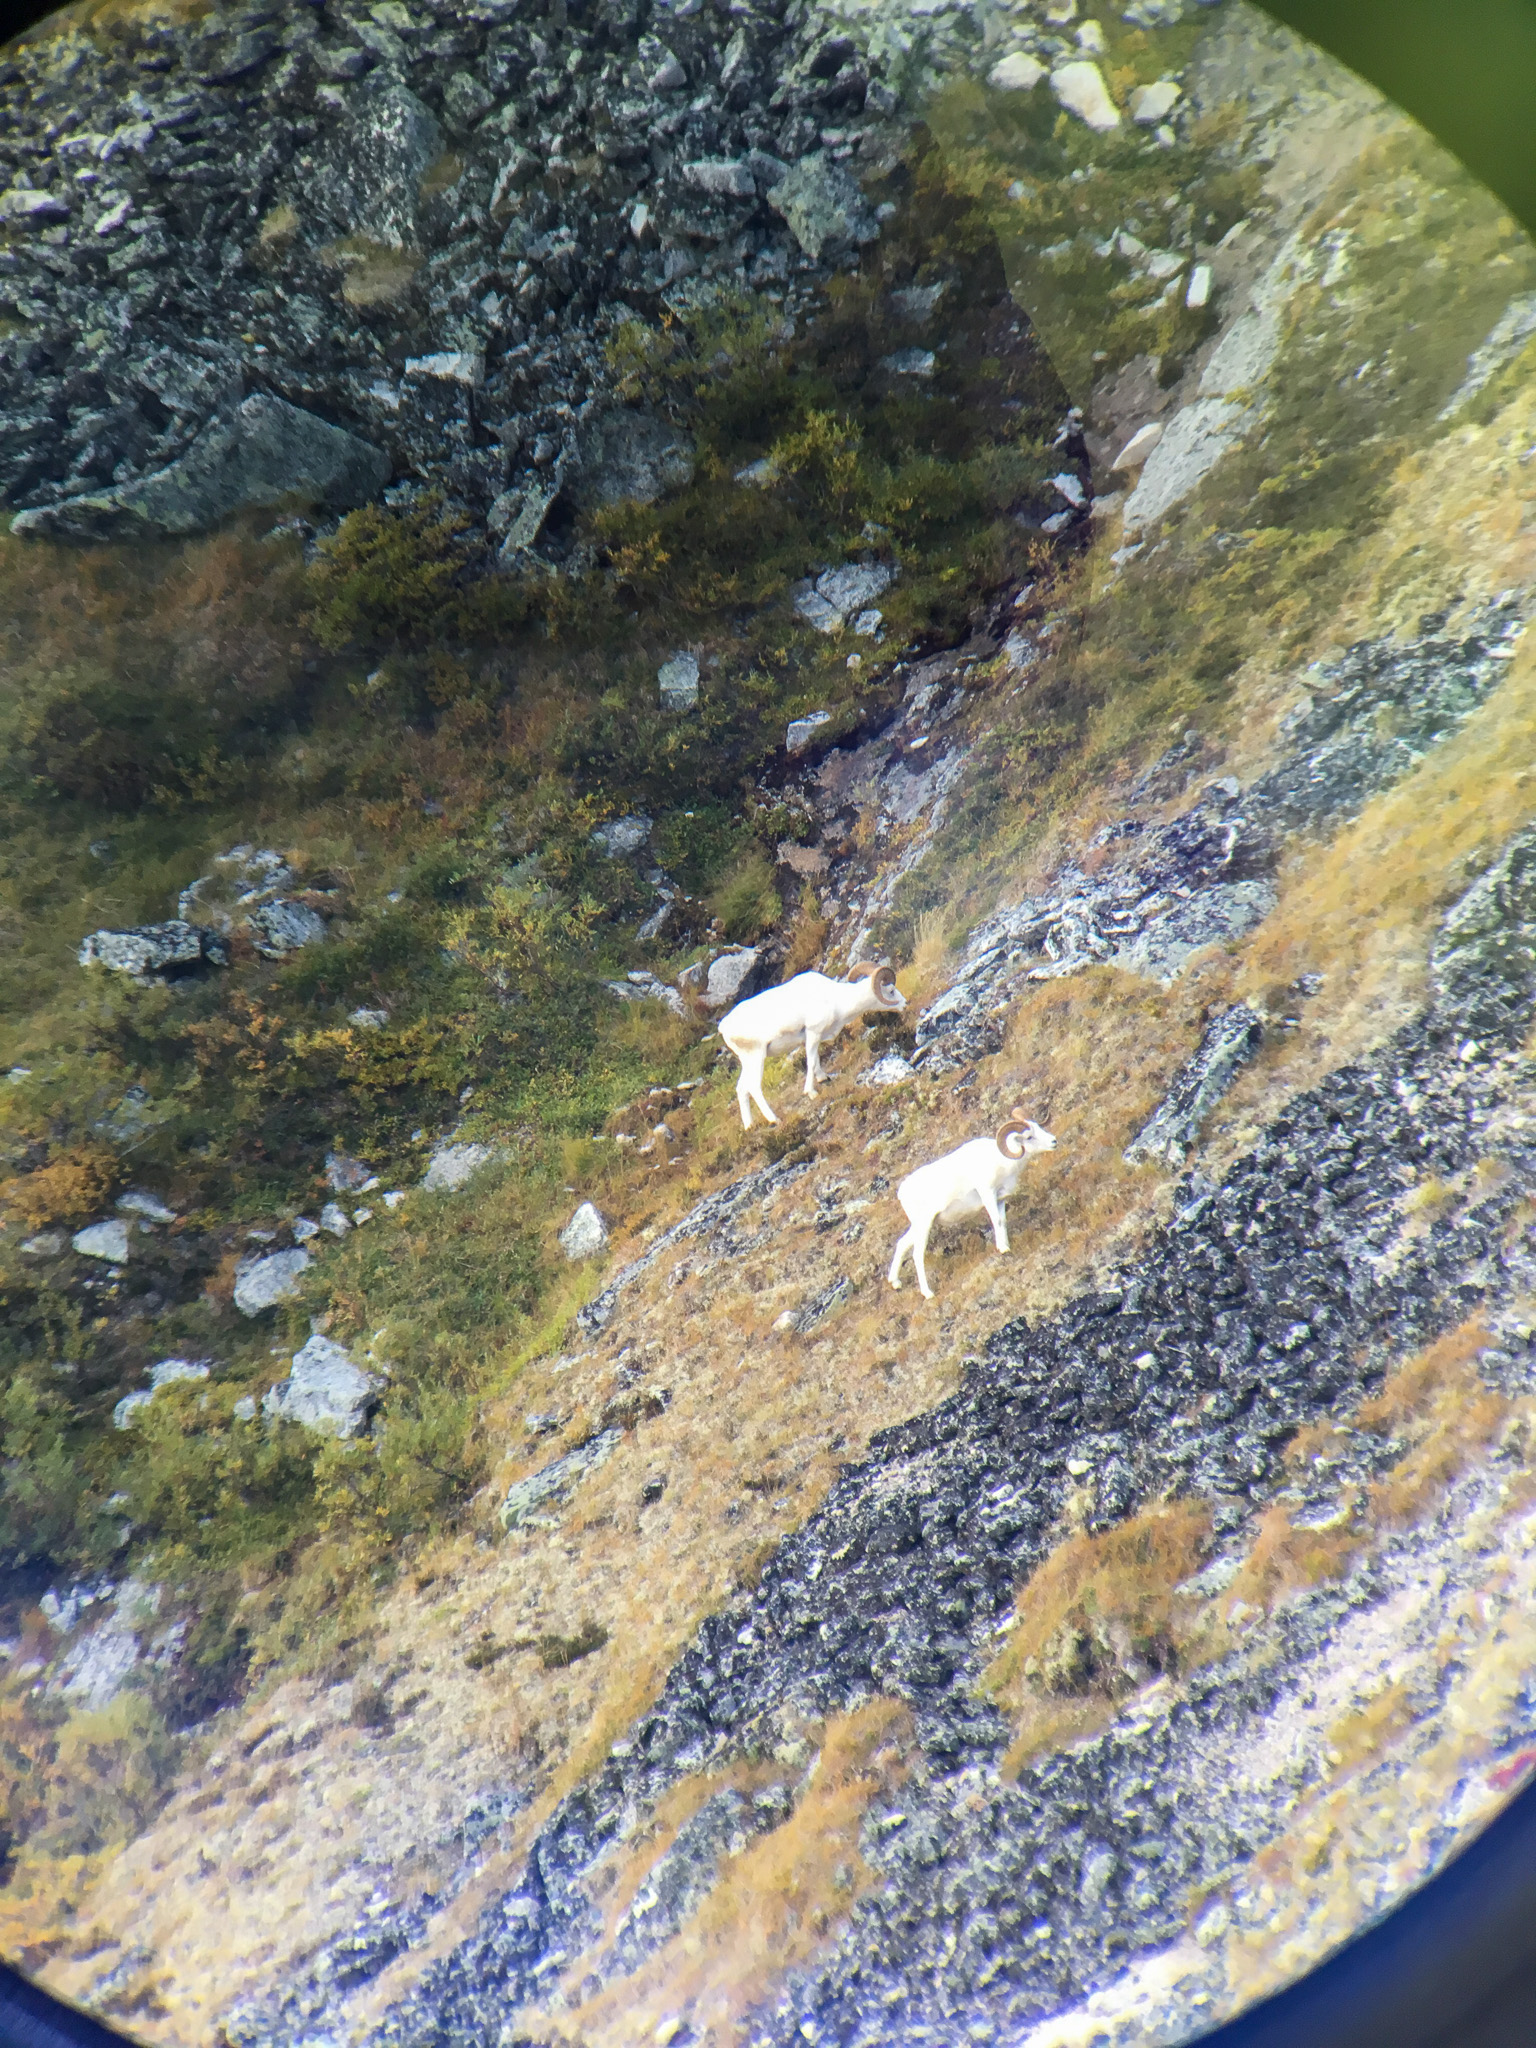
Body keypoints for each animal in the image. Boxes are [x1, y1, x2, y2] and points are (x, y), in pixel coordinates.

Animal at [718, 963, 907, 1129]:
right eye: (891, 990)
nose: (905, 1004)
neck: (835, 1001)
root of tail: (724, 1027)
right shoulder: (813, 1033)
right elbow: (811, 1062)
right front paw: (811, 1092)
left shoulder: (811, 1038)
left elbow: (815, 1060)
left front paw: (824, 1078)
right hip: (757, 1057)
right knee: (753, 1087)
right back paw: (774, 1119)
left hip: (747, 1061)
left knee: (741, 1088)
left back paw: (749, 1127)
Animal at [888, 1114, 1057, 1299]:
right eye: (1029, 1137)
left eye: (1038, 1127)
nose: (1054, 1141)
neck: (1000, 1161)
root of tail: (902, 1192)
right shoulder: (988, 1194)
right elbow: (996, 1221)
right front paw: (1003, 1249)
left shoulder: (1000, 1199)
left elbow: (1002, 1221)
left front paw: (1006, 1245)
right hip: (924, 1225)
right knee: (917, 1254)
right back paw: (928, 1293)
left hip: (919, 1226)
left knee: (902, 1243)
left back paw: (895, 1283)